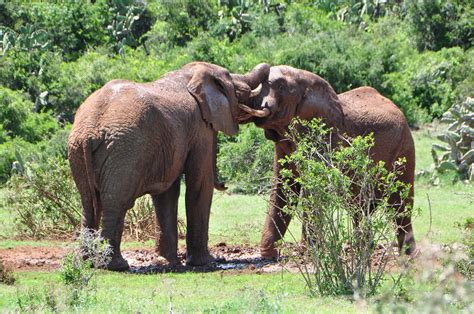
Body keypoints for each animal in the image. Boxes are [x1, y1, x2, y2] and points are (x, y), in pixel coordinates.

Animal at [67, 62, 268, 272]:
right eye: (238, 92)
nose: (224, 184)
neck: (191, 74)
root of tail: (89, 132)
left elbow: (167, 194)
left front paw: (167, 263)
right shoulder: (200, 128)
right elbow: (199, 186)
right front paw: (207, 262)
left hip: (77, 151)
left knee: (88, 202)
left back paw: (87, 262)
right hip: (123, 151)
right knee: (116, 202)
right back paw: (116, 265)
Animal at [239, 65, 416, 258]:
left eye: (280, 86)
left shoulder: (325, 137)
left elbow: (312, 189)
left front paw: (308, 253)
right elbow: (284, 186)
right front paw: (270, 254)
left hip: (405, 148)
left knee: (401, 203)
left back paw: (408, 255)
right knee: (361, 206)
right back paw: (362, 250)